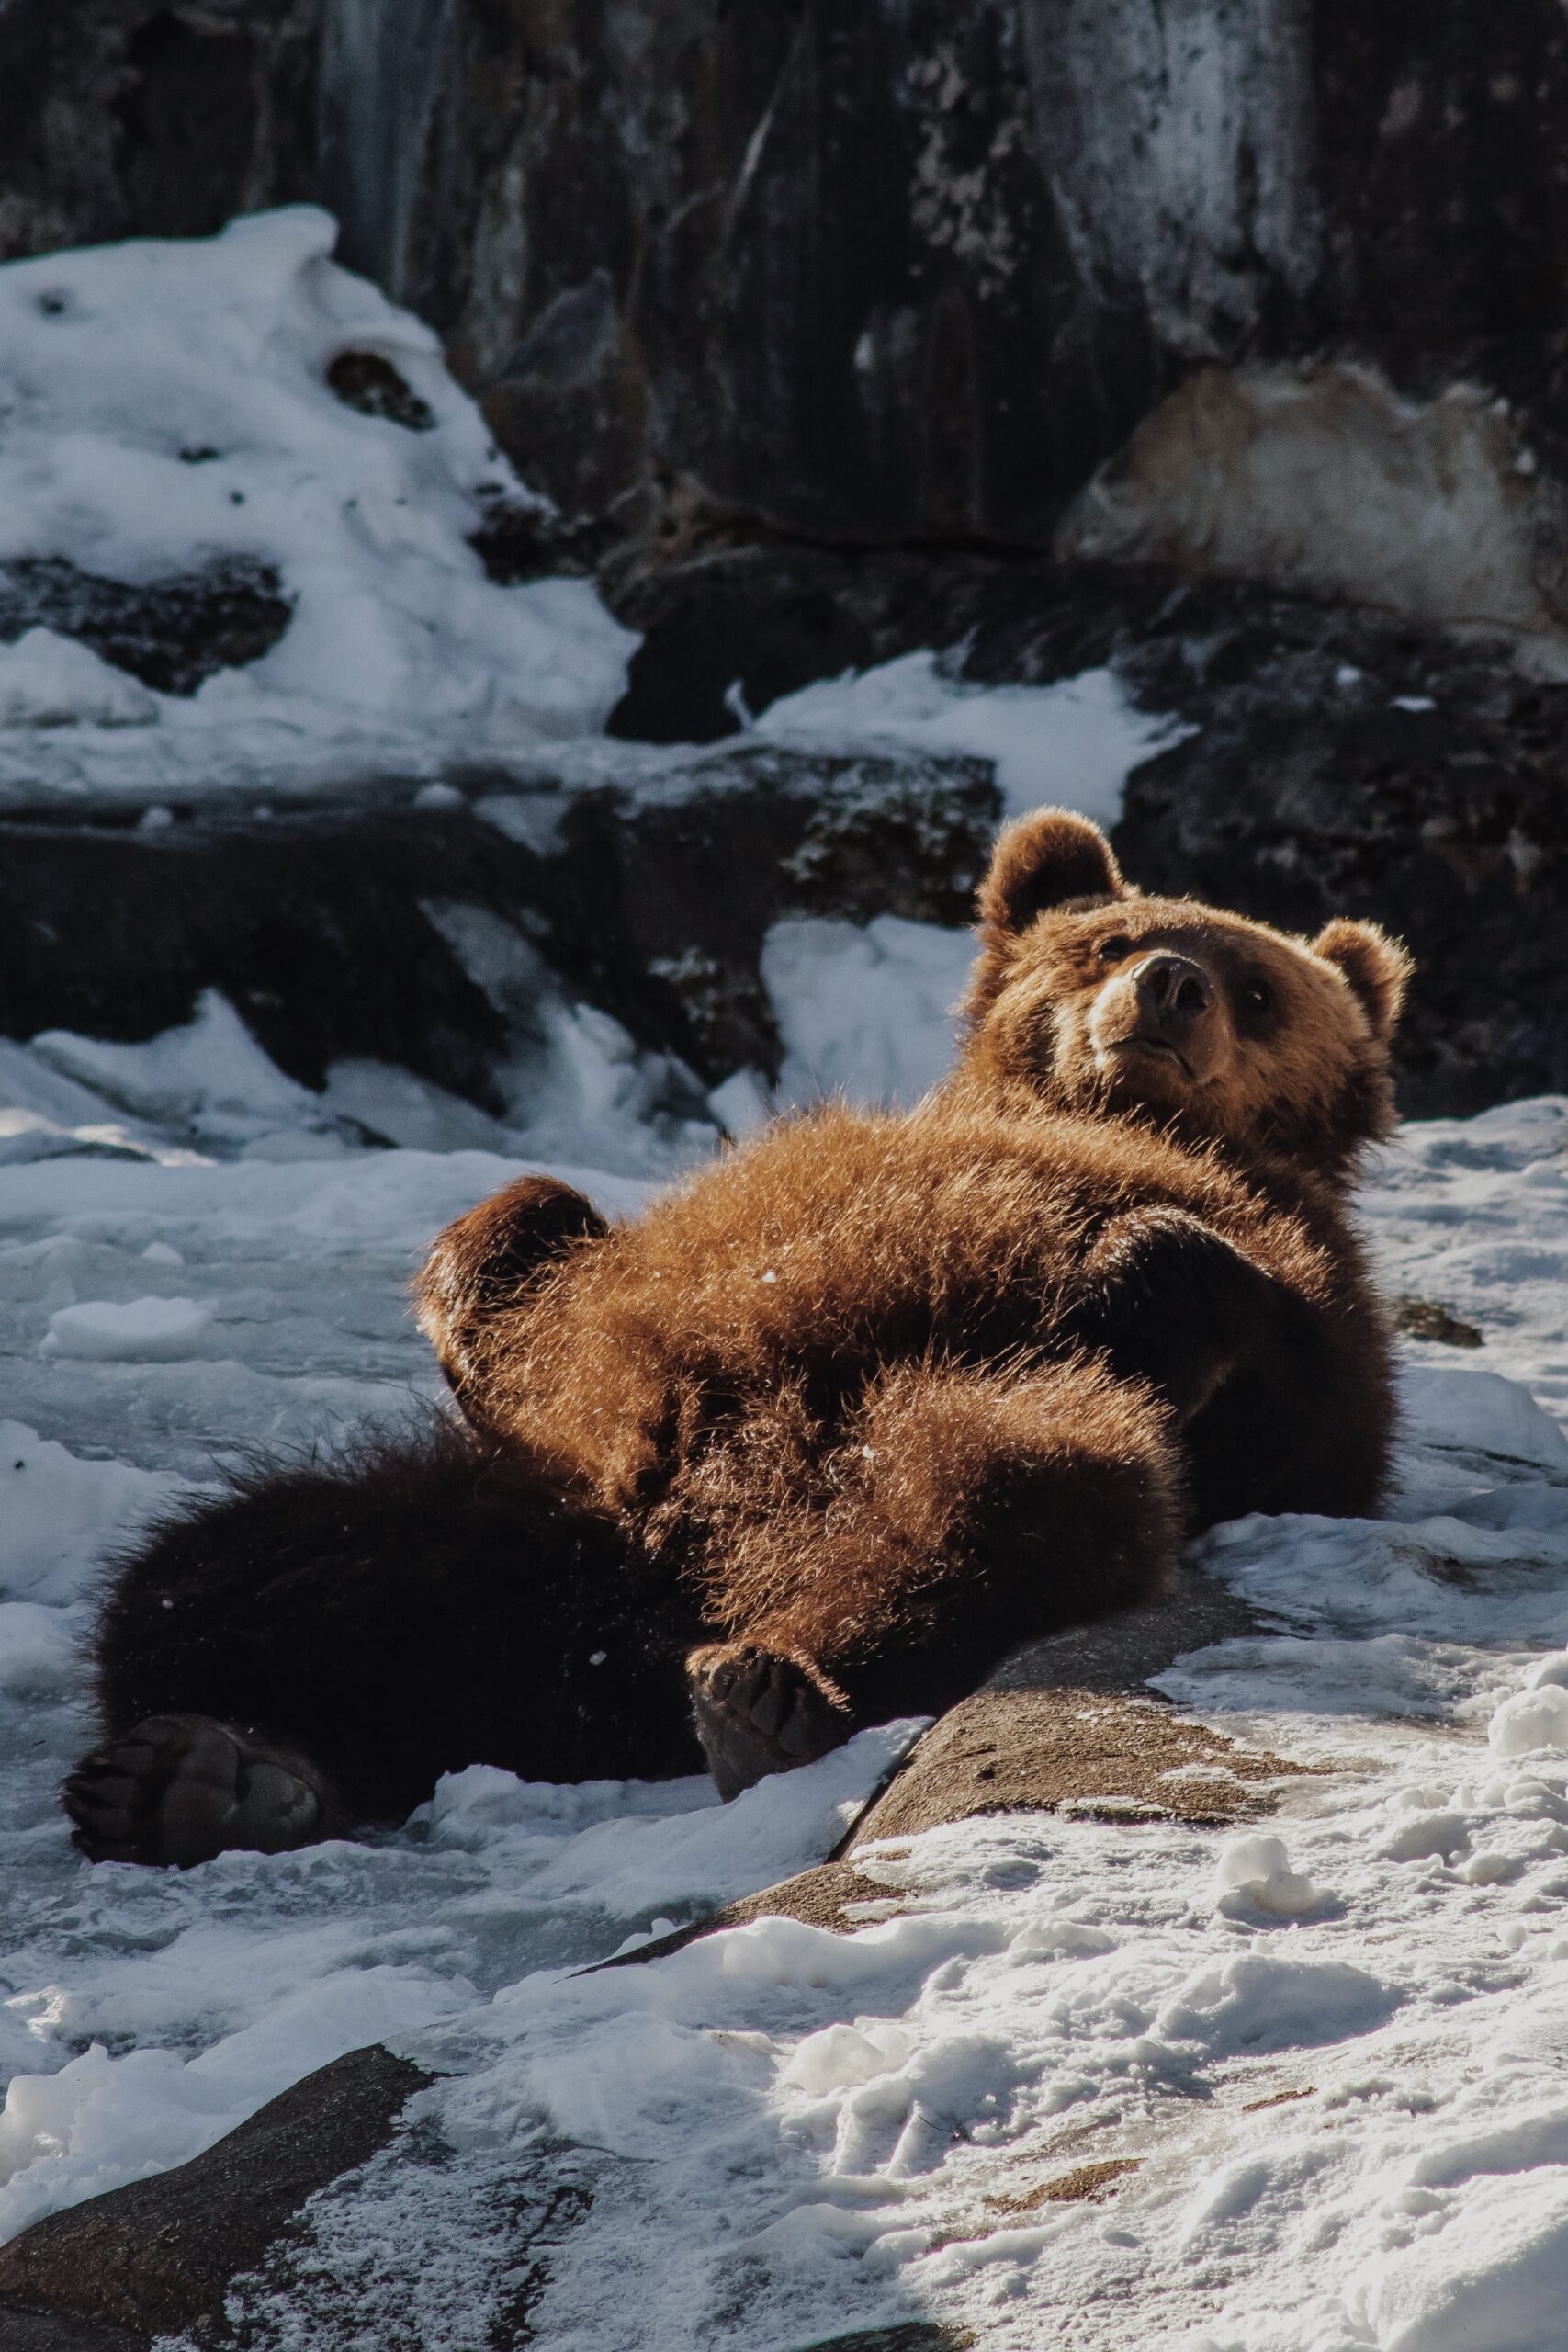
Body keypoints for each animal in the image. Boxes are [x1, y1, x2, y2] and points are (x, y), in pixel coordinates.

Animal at [61, 818, 1410, 1862]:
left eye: (1259, 987)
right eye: (1110, 940)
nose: (1172, 983)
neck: (1108, 1117)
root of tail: (634, 1622)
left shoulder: (1302, 1293)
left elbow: (1283, 1395)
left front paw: (1129, 1277)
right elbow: (541, 1247)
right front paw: (482, 1286)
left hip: (912, 1434)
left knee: (1009, 1490)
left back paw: (770, 1691)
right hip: (514, 1523)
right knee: (220, 1573)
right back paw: (200, 1774)